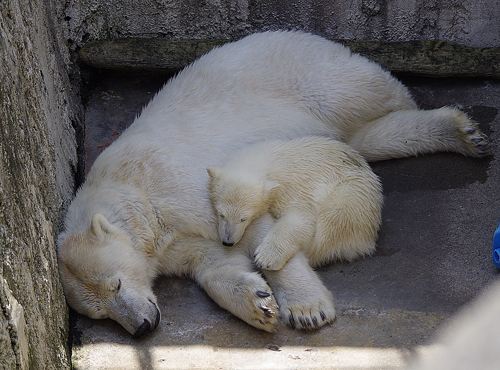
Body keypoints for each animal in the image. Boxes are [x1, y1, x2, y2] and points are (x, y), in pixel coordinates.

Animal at [57, 31, 488, 336]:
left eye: (115, 284)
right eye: (100, 314)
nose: (143, 327)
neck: (132, 192)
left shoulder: (180, 186)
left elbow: (255, 229)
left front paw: (306, 309)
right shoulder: (166, 241)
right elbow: (212, 261)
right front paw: (258, 303)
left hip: (315, 80)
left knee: (377, 98)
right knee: (371, 137)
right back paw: (463, 134)